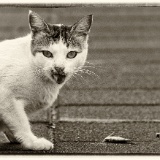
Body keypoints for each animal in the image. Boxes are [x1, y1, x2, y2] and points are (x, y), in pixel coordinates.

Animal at [0, 10, 92, 151]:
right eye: (47, 54)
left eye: (71, 54)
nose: (59, 67)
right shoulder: (5, 97)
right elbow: (20, 121)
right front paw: (32, 142)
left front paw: (14, 136)